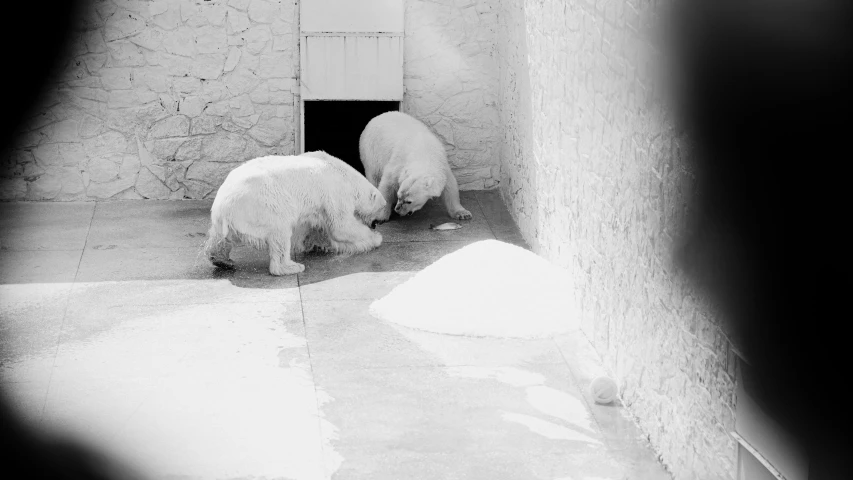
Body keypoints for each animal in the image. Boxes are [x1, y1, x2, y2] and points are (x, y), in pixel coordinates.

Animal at [203, 150, 386, 278]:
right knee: (280, 232)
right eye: (383, 207)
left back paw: (221, 259)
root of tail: (224, 205)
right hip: (264, 205)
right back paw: (291, 267)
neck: (344, 174)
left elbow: (310, 225)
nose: (383, 221)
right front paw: (375, 238)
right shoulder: (335, 192)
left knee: (219, 238)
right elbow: (341, 226)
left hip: (227, 217)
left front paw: (317, 244)